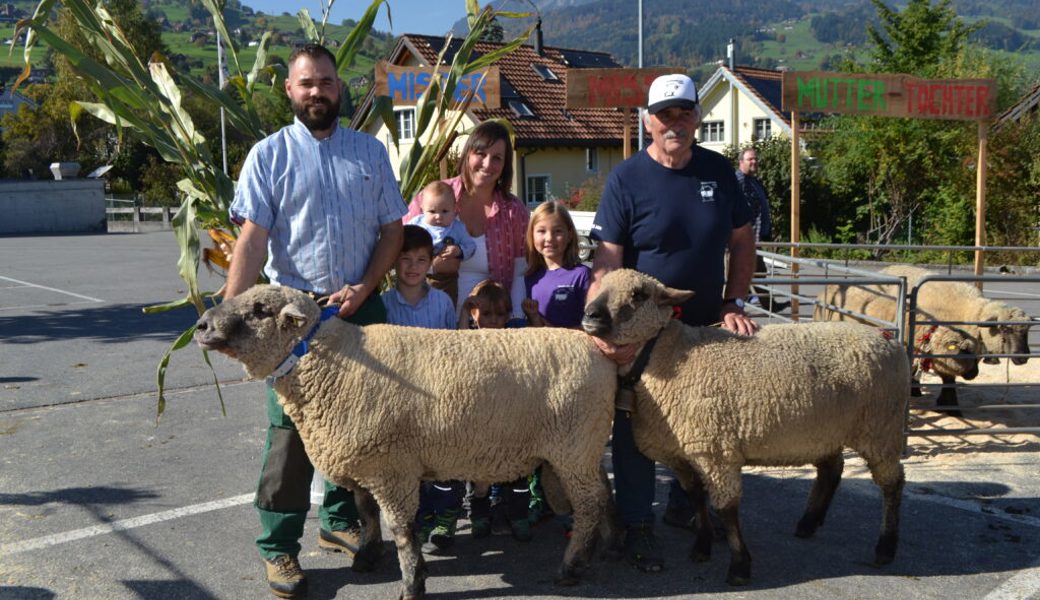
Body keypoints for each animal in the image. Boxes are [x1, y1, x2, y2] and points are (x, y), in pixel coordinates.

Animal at [195, 284, 615, 598]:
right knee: (603, 493)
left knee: (590, 503)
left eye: (260, 309)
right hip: (587, 444)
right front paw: (366, 558)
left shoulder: (391, 469)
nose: (200, 326)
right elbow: (366, 512)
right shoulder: (366, 462)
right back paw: (604, 543)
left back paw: (572, 566)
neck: (333, 362)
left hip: (574, 446)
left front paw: (412, 583)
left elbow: (401, 530)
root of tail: (600, 353)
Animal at [586, 270, 911, 586]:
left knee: (892, 484)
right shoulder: (682, 455)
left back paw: (885, 547)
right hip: (826, 429)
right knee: (832, 469)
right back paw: (808, 523)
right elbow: (696, 498)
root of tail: (889, 339)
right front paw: (702, 546)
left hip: (881, 427)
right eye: (598, 286)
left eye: (639, 294)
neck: (662, 354)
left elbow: (726, 510)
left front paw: (740, 565)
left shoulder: (716, 451)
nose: (590, 314)